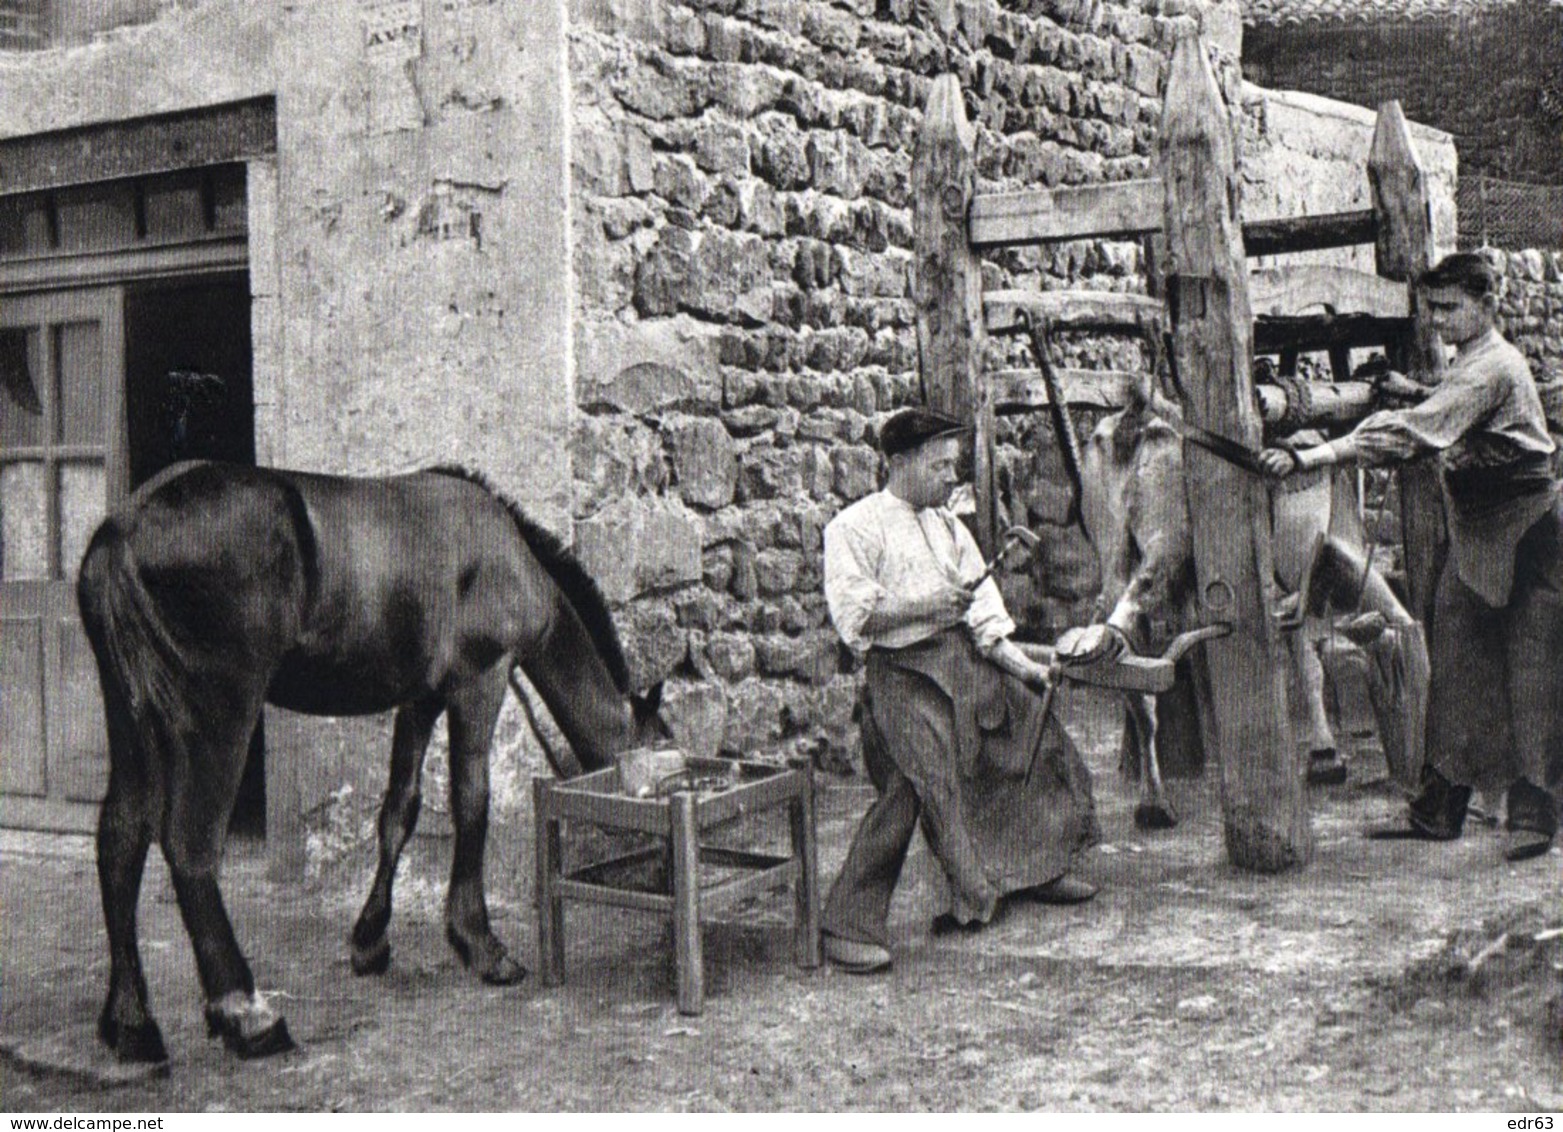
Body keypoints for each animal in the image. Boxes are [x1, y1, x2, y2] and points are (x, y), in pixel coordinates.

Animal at [79, 459, 665, 1063]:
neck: (505, 552)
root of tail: (123, 530)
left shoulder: (421, 699)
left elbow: (399, 811)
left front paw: (370, 940)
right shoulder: (480, 681)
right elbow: (472, 803)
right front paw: (479, 943)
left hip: (133, 718)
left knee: (120, 836)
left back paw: (131, 1021)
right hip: (219, 713)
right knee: (189, 845)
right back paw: (246, 1013)